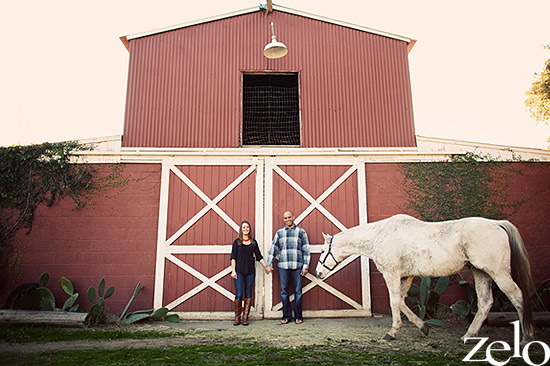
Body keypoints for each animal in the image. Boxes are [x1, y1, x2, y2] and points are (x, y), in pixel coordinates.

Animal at [316, 214, 536, 344]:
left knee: (517, 297)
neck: (380, 236)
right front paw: (424, 327)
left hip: (498, 272)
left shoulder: (391, 274)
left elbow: (394, 302)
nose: (318, 273)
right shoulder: (406, 276)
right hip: (481, 273)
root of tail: (496, 224)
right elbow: (401, 302)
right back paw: (467, 336)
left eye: (323, 252)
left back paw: (526, 338)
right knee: (485, 302)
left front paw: (392, 332)